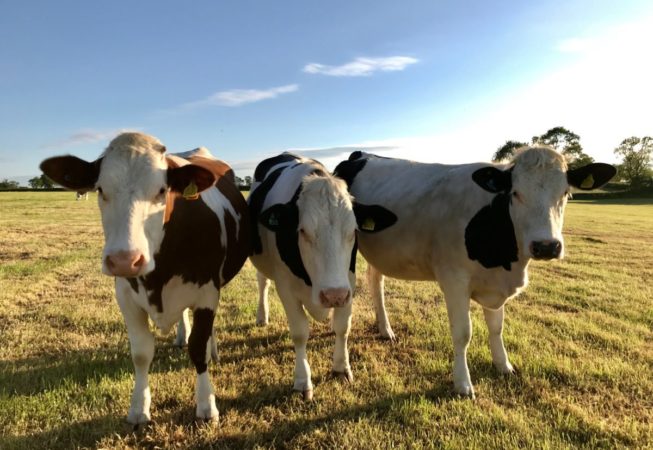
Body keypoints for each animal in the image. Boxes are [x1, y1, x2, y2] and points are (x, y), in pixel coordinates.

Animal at [40, 132, 250, 424]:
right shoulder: (126, 297)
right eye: (101, 189)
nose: (124, 260)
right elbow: (141, 353)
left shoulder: (208, 292)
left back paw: (212, 349)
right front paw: (139, 408)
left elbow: (198, 348)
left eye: (162, 190)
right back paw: (181, 336)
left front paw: (206, 406)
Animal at [248, 153, 392, 400]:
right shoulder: (285, 288)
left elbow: (344, 326)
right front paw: (302, 381)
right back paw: (261, 315)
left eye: (353, 230)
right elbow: (299, 332)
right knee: (262, 281)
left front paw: (341, 368)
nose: (333, 296)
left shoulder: (348, 282)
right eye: (303, 231)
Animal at [334, 147, 612, 398]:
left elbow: (497, 327)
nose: (546, 246)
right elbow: (462, 334)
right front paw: (463, 384)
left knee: (376, 281)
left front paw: (503, 365)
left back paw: (385, 329)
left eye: (566, 193)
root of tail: (361, 154)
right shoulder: (454, 280)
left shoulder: (496, 284)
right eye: (515, 193)